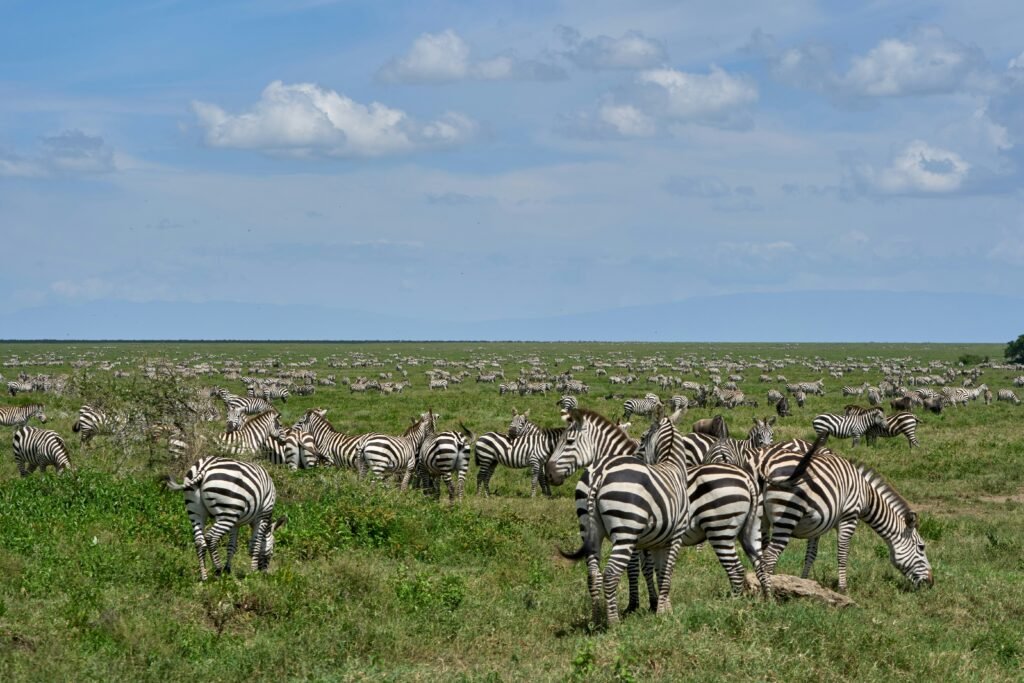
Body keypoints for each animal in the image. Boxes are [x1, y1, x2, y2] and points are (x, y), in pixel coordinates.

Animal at [557, 405, 692, 626]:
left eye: (568, 441)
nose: (549, 473)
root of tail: (599, 474)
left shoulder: (654, 540)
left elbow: (656, 570)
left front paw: (657, 604)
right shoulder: (670, 535)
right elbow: (657, 570)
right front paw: (654, 608)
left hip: (594, 531)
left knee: (594, 574)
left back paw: (597, 619)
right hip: (625, 531)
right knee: (610, 573)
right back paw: (613, 622)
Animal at [757, 444, 933, 593]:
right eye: (921, 547)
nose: (931, 583)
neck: (867, 496)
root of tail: (767, 465)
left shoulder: (818, 524)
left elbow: (811, 555)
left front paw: (804, 582)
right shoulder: (849, 517)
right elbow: (843, 554)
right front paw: (843, 588)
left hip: (761, 518)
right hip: (788, 514)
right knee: (769, 556)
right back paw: (769, 595)